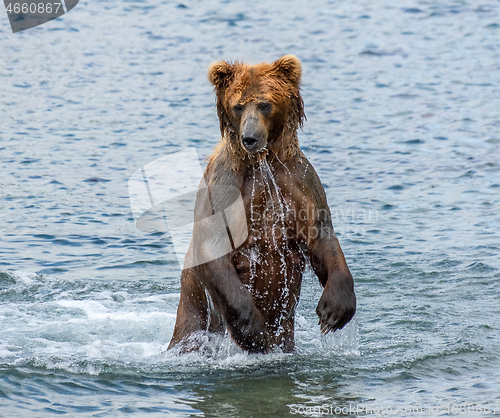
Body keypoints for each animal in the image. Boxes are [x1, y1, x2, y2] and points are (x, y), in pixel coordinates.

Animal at [168, 54, 356, 354]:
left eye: (265, 104)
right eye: (238, 105)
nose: (250, 138)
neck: (262, 163)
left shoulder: (300, 182)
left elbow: (321, 235)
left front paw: (333, 311)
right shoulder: (224, 188)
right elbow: (214, 243)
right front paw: (253, 331)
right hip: (194, 312)